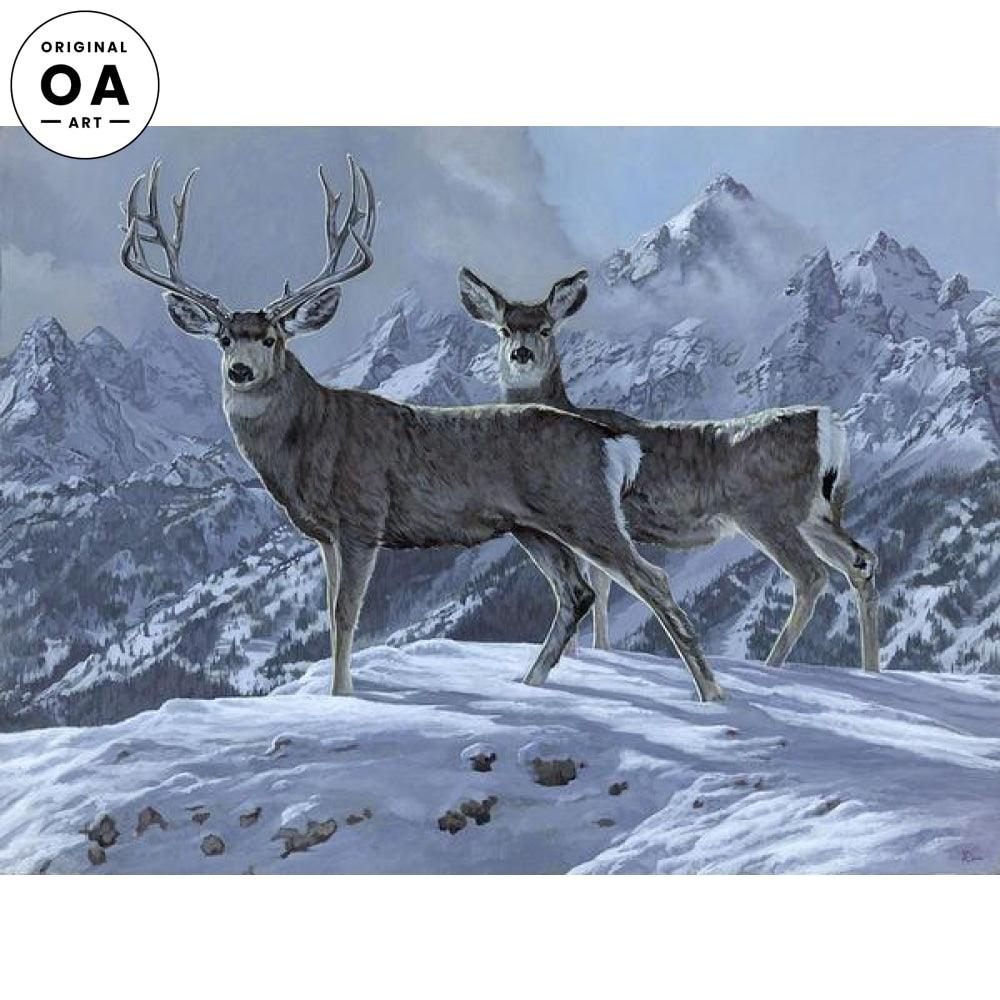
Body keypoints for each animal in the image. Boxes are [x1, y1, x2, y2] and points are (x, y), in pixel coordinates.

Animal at [119, 159, 725, 702]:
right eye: (224, 339)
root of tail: (610, 441)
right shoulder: (323, 535)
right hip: (533, 526)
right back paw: (528, 684)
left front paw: (342, 698)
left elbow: (345, 614)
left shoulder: (362, 518)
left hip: (584, 510)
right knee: (575, 593)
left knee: (650, 580)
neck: (310, 441)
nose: (240, 370)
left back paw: (710, 694)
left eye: (272, 339)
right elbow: (329, 615)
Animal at [458, 267, 879, 673]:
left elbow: (591, 583)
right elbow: (603, 583)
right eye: (504, 329)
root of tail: (827, 423)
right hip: (818, 515)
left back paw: (772, 665)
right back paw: (870, 670)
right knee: (861, 561)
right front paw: (601, 650)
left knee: (812, 576)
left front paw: (581, 653)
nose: (522, 353)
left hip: (766, 513)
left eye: (546, 328)